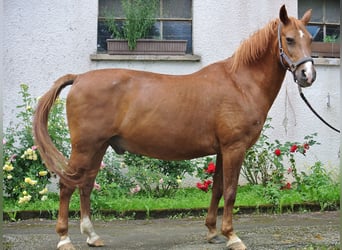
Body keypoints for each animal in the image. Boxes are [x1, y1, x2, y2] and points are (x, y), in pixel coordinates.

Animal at [34, 5, 316, 250]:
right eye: (289, 39)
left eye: (311, 39)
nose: (308, 75)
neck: (240, 83)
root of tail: (79, 78)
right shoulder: (234, 148)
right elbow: (231, 191)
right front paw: (232, 236)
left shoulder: (222, 150)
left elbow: (217, 189)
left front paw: (212, 232)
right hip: (85, 147)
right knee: (68, 185)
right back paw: (64, 239)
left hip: (98, 147)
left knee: (86, 184)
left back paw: (92, 235)